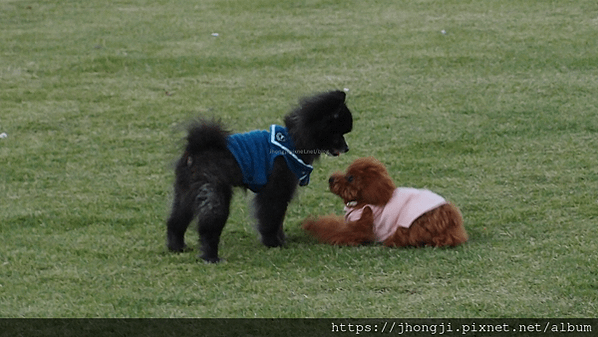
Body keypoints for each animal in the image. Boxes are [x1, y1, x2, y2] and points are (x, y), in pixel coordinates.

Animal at [166, 90, 354, 262]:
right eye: (338, 134)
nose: (347, 148)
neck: (295, 140)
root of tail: (196, 150)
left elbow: (279, 219)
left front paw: (281, 239)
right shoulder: (274, 191)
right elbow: (271, 218)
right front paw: (272, 242)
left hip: (186, 193)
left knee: (175, 221)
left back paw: (177, 247)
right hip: (215, 195)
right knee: (207, 228)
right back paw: (211, 257)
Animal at [304, 157, 468, 247]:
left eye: (350, 178)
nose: (331, 179)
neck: (364, 200)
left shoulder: (361, 227)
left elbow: (333, 229)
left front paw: (312, 226)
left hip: (412, 224)